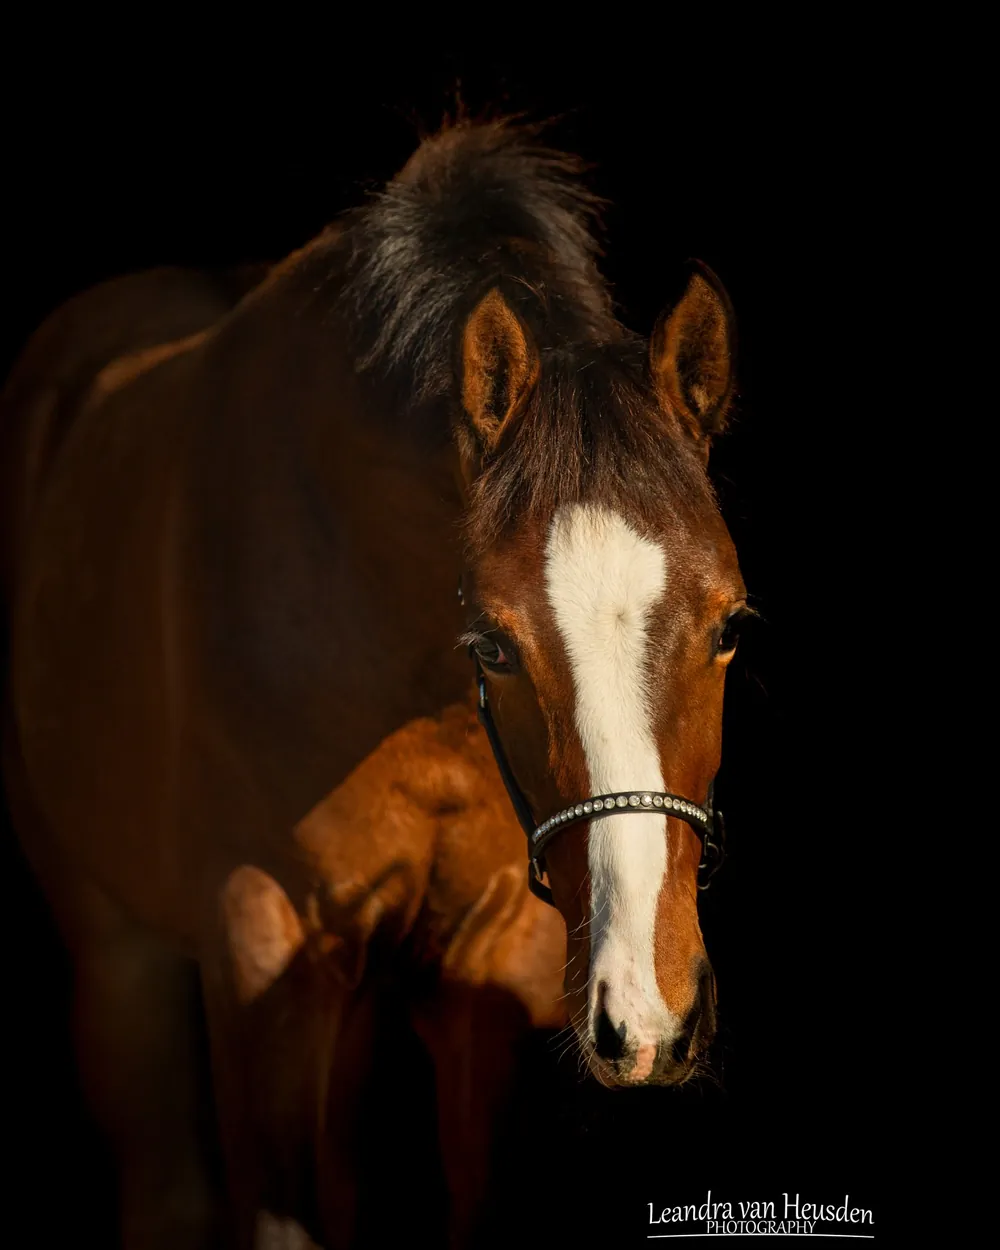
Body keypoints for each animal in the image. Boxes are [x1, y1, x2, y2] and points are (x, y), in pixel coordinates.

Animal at [0, 118, 747, 1249]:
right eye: (493, 645)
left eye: (729, 628)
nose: (649, 1008)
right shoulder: (263, 950)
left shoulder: (494, 963)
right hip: (117, 957)